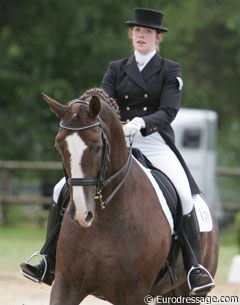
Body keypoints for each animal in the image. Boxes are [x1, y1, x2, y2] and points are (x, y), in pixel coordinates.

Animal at [42, 88, 218, 304]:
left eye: (97, 147)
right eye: (59, 148)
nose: (82, 214)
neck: (105, 218)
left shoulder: (134, 293)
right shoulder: (66, 284)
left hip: (188, 293)